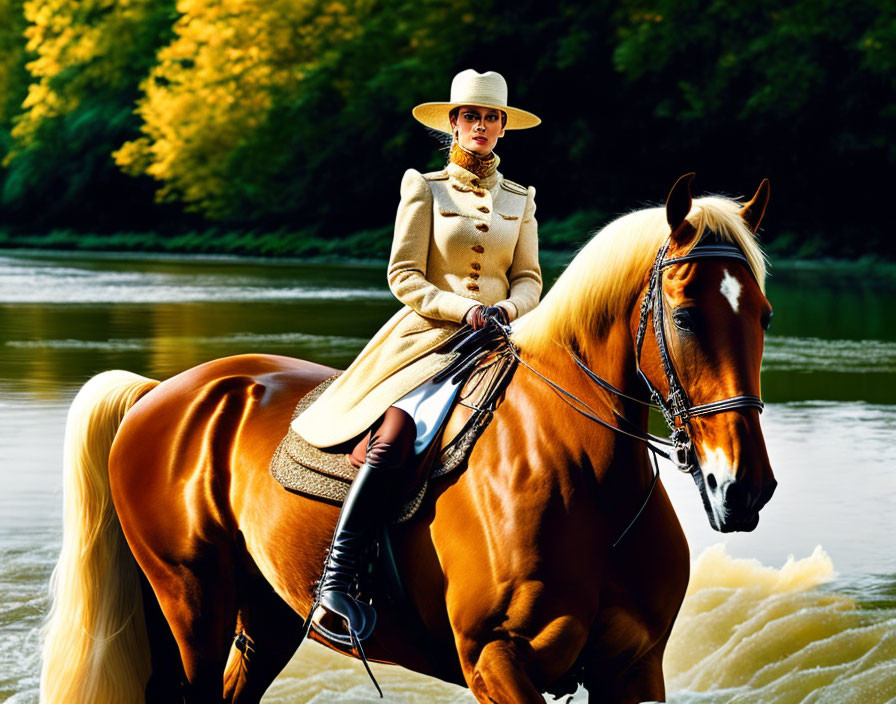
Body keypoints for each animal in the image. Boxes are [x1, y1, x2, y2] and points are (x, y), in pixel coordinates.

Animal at [38, 176, 772, 704]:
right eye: (685, 315)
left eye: (763, 315)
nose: (745, 489)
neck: (584, 478)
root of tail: (158, 393)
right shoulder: (494, 660)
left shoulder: (634, 668)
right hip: (189, 602)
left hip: (264, 614)